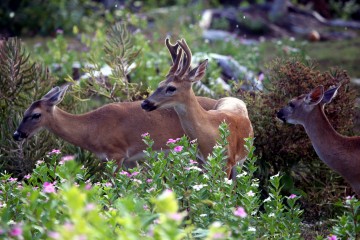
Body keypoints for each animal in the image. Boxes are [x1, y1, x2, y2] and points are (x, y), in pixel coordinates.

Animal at [13, 83, 217, 172]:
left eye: (36, 114)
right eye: (24, 111)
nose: (17, 134)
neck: (92, 127)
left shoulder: (116, 153)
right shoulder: (125, 159)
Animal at [141, 38, 253, 179]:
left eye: (171, 88)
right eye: (160, 84)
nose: (144, 103)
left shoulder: (228, 161)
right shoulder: (201, 162)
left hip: (241, 160)